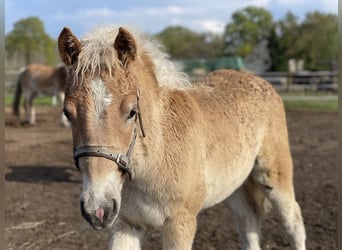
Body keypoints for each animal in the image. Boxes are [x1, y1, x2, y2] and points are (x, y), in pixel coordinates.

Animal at [57, 25, 306, 250]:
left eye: (132, 111)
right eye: (67, 112)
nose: (98, 209)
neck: (155, 158)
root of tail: (259, 81)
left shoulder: (180, 224)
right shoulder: (125, 224)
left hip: (274, 176)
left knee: (294, 221)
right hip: (235, 187)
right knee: (249, 225)